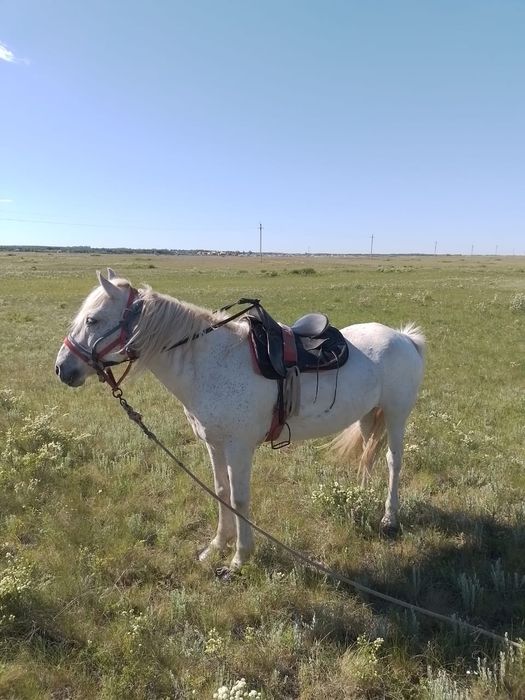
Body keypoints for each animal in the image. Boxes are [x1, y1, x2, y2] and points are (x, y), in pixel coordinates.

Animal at [55, 269, 425, 571]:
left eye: (92, 320)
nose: (62, 369)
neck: (209, 362)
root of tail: (404, 337)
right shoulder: (214, 443)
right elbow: (220, 491)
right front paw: (216, 547)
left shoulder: (238, 448)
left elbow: (238, 498)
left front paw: (239, 558)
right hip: (366, 415)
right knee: (367, 455)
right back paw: (359, 499)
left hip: (396, 416)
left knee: (392, 461)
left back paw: (389, 518)